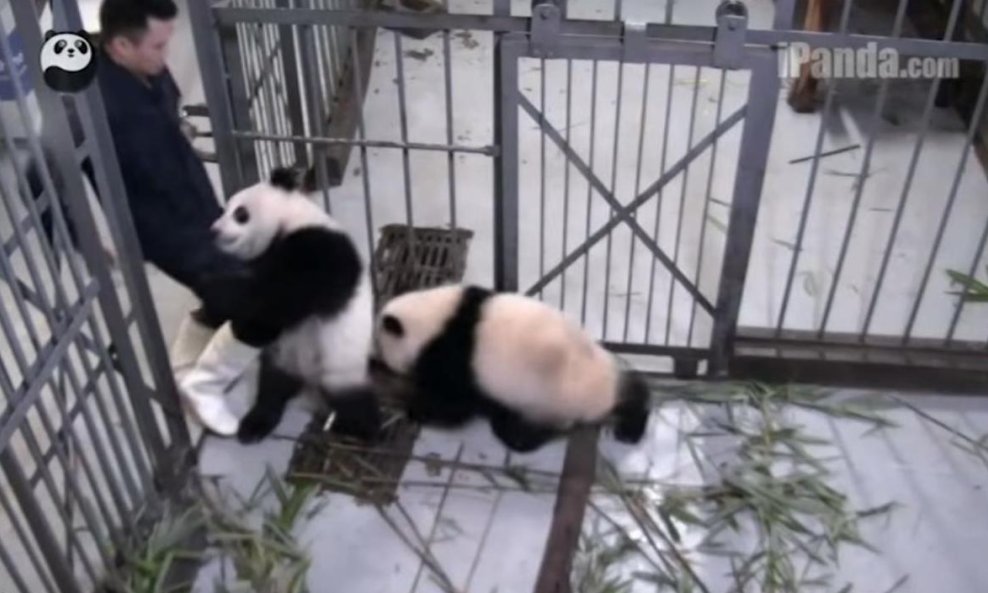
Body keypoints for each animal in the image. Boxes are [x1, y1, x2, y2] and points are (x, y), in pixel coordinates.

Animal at [209, 166, 380, 444]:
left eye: (240, 214)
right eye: (223, 210)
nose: (214, 231)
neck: (290, 220)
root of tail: (308, 377)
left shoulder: (320, 247)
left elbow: (290, 297)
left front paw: (245, 326)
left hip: (340, 362)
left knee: (353, 400)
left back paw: (365, 429)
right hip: (281, 356)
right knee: (271, 388)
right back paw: (254, 425)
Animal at [372, 284, 651, 452]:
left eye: (378, 350)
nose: (375, 360)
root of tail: (604, 396)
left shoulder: (455, 359)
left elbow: (451, 406)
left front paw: (407, 409)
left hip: (549, 401)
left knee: (523, 436)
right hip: (605, 365)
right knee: (634, 387)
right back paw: (632, 426)